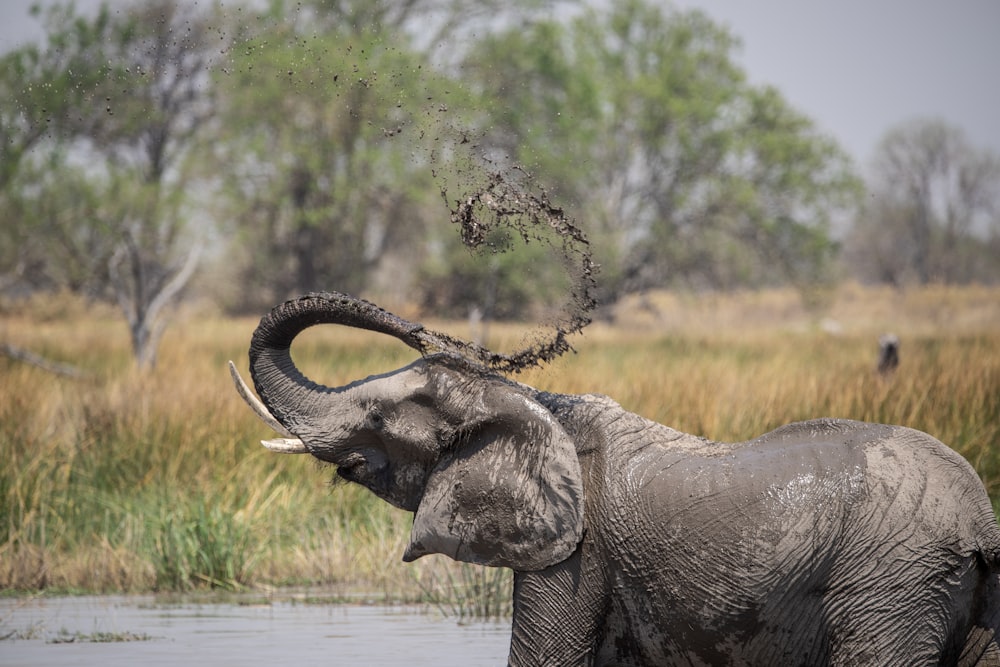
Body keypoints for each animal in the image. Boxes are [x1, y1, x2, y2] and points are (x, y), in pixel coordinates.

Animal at [230, 292, 1000, 667]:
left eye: (378, 415)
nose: (432, 333)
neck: (534, 401)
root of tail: (982, 523)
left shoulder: (576, 553)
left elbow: (545, 660)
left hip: (889, 583)